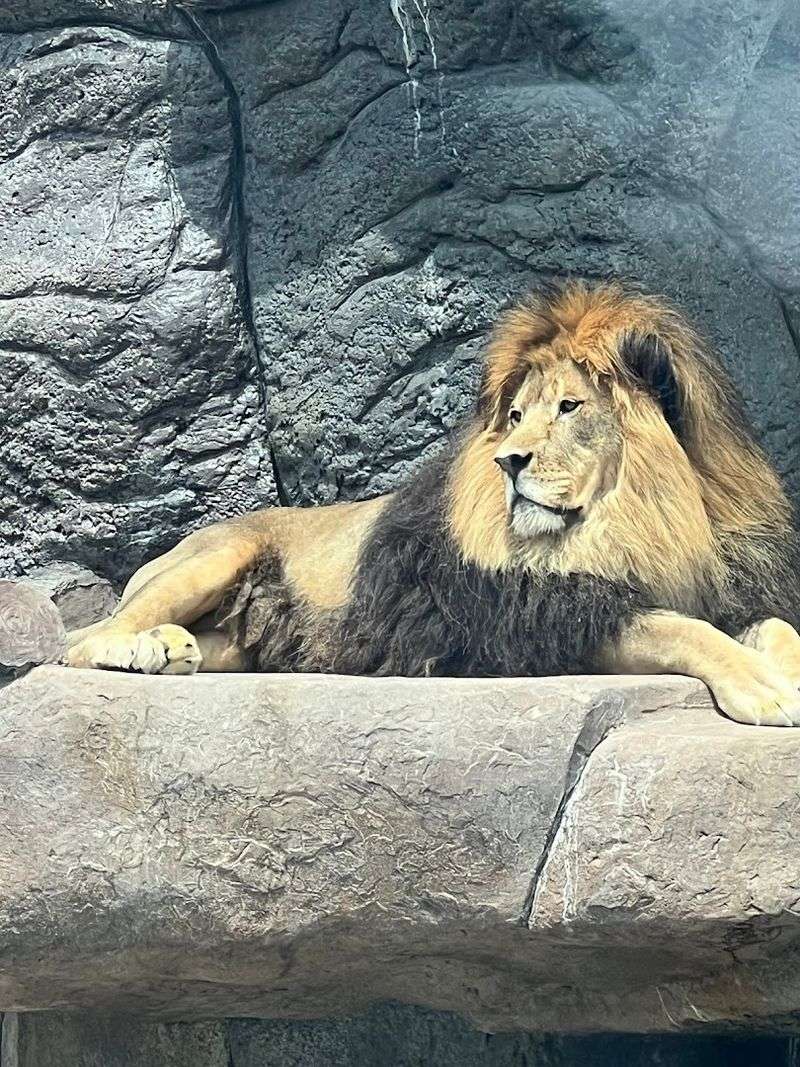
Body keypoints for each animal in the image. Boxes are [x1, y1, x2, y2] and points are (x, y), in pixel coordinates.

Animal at [66, 281, 800, 727]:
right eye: (515, 416)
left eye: (568, 408)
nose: (509, 462)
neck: (651, 522)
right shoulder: (539, 619)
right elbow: (681, 629)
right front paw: (765, 688)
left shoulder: (729, 588)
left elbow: (776, 626)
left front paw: (780, 667)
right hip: (218, 555)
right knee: (81, 640)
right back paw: (144, 646)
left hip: (243, 640)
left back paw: (177, 649)